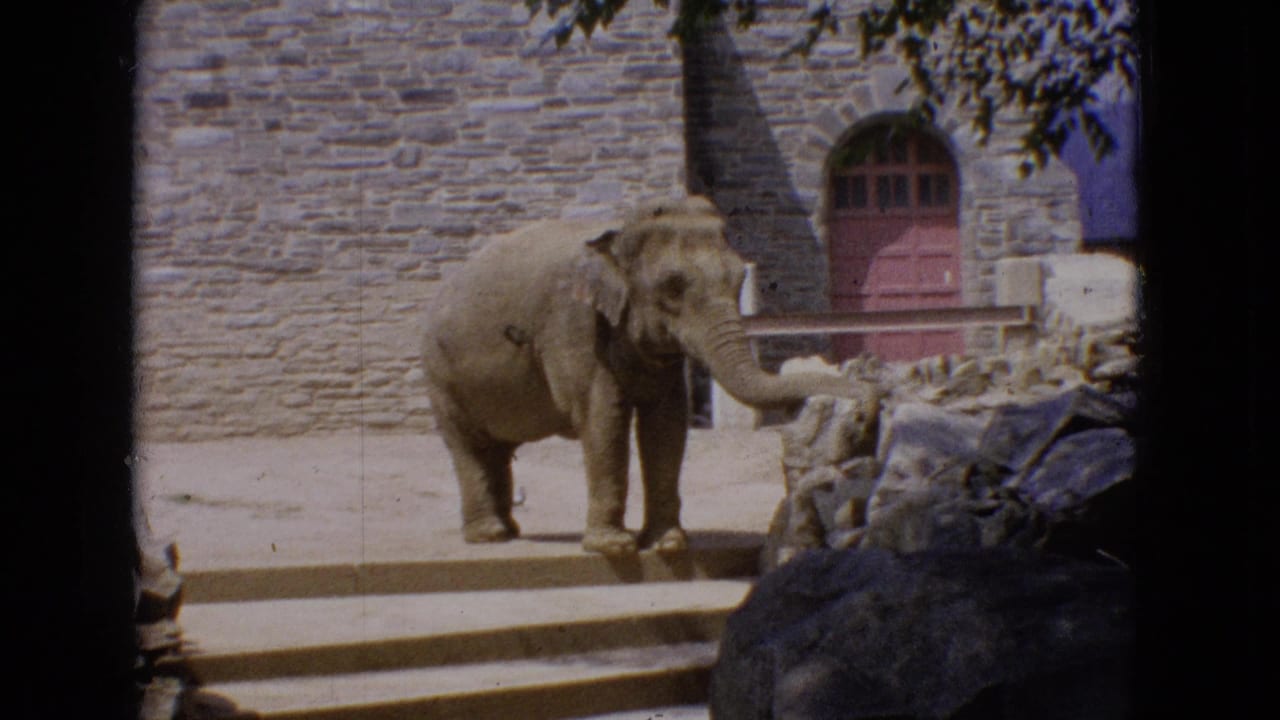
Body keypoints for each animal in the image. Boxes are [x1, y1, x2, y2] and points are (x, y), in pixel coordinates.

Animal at [421, 196, 870, 556]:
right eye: (672, 287)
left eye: (740, 278)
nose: (863, 398)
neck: (617, 234)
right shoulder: (575, 326)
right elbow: (605, 419)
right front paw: (613, 547)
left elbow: (667, 423)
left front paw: (667, 544)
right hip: (440, 375)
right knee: (469, 444)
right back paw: (490, 536)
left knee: (495, 449)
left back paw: (509, 532)